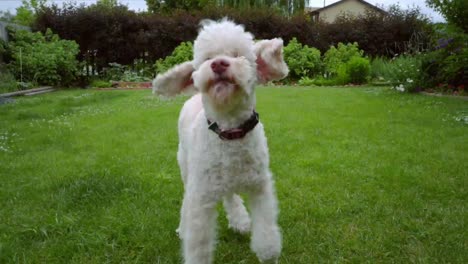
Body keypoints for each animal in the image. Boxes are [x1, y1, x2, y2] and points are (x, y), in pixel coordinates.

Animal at [154, 19, 288, 264]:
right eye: (207, 58)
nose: (218, 64)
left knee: (229, 194)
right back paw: (184, 227)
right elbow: (198, 246)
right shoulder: (201, 198)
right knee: (188, 197)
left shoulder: (260, 186)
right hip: (187, 167)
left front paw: (267, 253)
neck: (230, 131)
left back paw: (240, 220)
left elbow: (267, 236)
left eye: (238, 55)